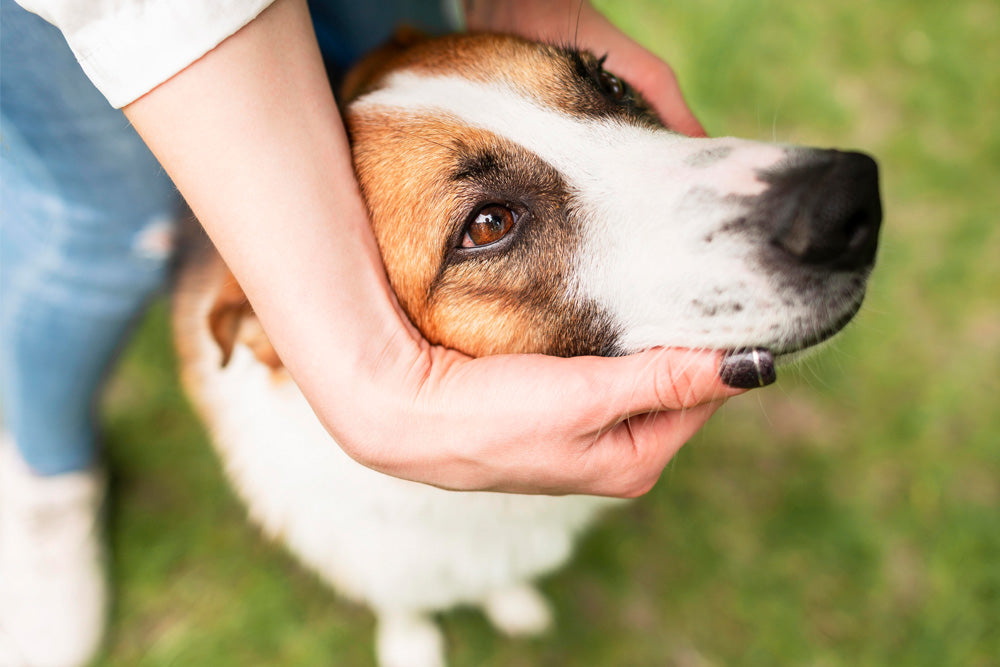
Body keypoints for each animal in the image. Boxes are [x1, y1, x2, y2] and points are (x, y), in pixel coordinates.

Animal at [172, 32, 884, 667]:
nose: (848, 200)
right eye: (488, 224)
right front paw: (412, 644)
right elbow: (405, 602)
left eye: (611, 81)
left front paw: (511, 600)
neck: (479, 502)